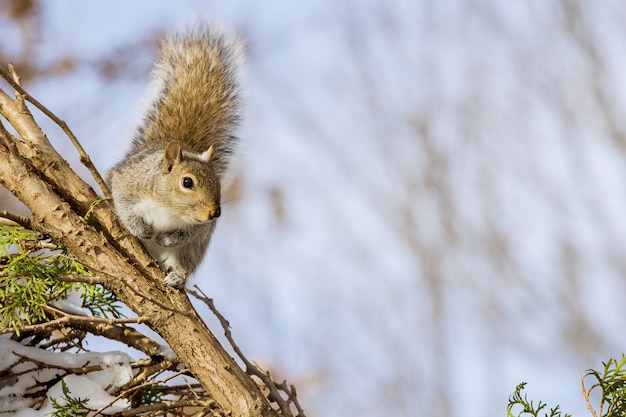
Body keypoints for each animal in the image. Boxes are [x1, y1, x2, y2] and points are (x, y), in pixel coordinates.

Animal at [106, 24, 243, 288]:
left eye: (218, 182)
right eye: (187, 182)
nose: (215, 213)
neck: (169, 208)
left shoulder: (199, 229)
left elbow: (189, 232)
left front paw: (167, 239)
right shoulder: (128, 181)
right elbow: (123, 202)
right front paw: (141, 229)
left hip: (192, 251)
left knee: (184, 261)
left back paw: (177, 277)